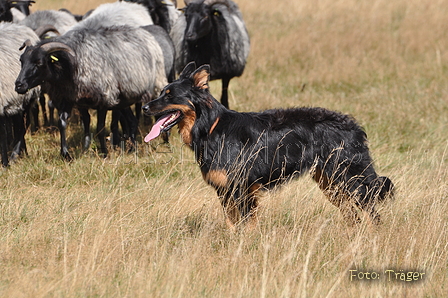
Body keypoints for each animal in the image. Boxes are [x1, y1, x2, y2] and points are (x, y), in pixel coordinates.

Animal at [143, 61, 392, 227]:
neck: (211, 127)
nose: (144, 107)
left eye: (169, 95)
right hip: (331, 183)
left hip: (350, 180)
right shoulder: (226, 192)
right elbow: (233, 226)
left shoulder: (240, 190)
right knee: (355, 217)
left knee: (373, 215)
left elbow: (244, 227)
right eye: (162, 93)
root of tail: (354, 125)